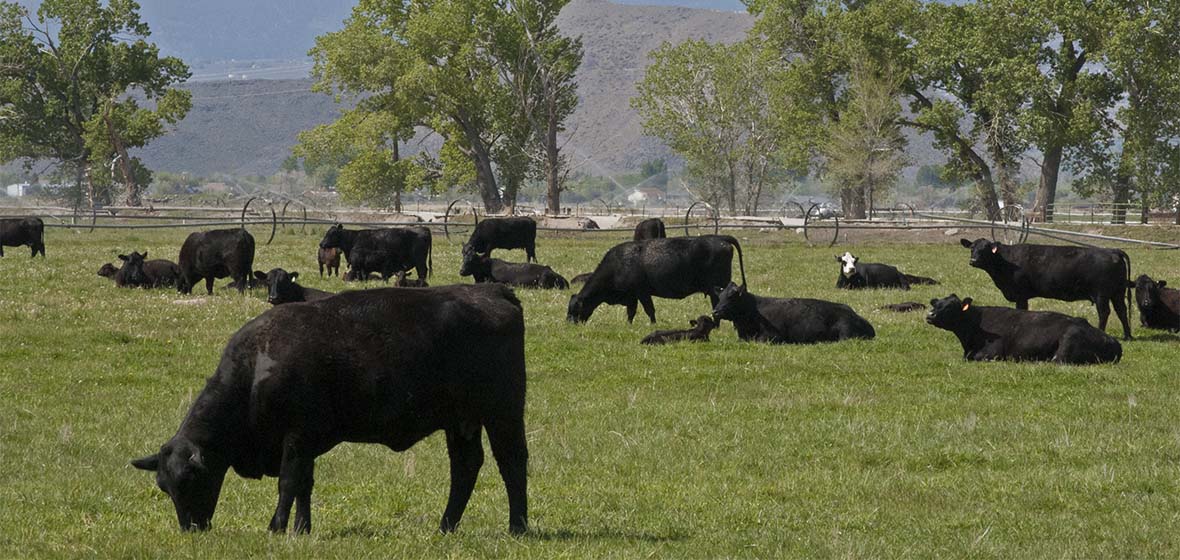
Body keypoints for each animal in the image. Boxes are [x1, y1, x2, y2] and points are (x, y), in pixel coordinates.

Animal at [130, 285, 531, 535]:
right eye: (165, 486)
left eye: (190, 479)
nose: (191, 528)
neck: (257, 364)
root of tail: (492, 291)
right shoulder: (305, 443)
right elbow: (305, 484)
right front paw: (301, 528)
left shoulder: (296, 437)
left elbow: (288, 482)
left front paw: (276, 527)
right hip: (461, 421)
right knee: (465, 467)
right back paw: (446, 526)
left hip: (503, 413)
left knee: (512, 462)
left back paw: (518, 526)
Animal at [564, 234, 745, 325]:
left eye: (574, 310)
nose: (569, 324)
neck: (619, 264)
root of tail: (719, 239)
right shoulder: (632, 296)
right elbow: (631, 312)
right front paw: (628, 325)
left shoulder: (642, 293)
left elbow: (649, 310)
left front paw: (652, 325)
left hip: (718, 289)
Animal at [925, 291, 1118, 365]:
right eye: (936, 304)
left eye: (950, 306)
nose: (930, 315)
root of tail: (1111, 340)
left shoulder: (992, 353)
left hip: (1068, 341)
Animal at [962, 239, 1137, 339]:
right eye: (972, 248)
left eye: (985, 249)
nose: (973, 261)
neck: (1005, 261)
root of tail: (1111, 250)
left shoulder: (1020, 295)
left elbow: (1022, 311)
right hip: (1117, 292)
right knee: (1122, 311)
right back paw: (1128, 336)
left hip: (1101, 294)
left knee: (1105, 312)